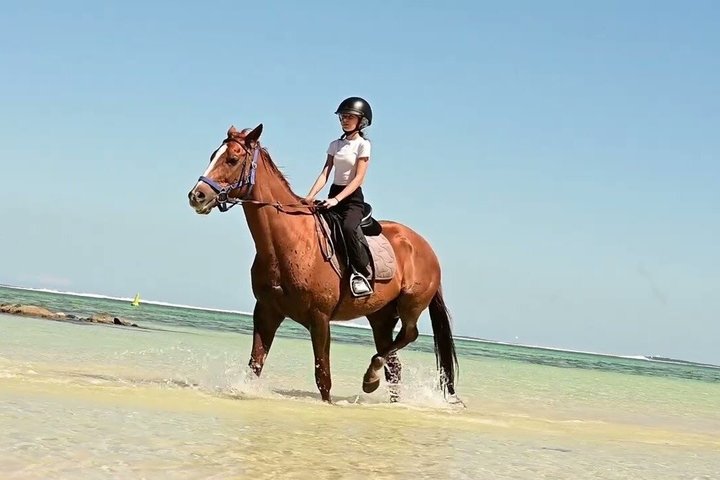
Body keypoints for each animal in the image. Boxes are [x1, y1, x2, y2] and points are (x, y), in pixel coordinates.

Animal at [187, 124, 459, 403]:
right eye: (213, 156)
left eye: (232, 159)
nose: (197, 195)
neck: (289, 241)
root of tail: (425, 247)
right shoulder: (266, 312)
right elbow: (255, 366)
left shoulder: (320, 318)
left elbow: (323, 378)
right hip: (381, 316)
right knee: (394, 365)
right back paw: (377, 384)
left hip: (411, 305)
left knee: (409, 335)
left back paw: (370, 375)